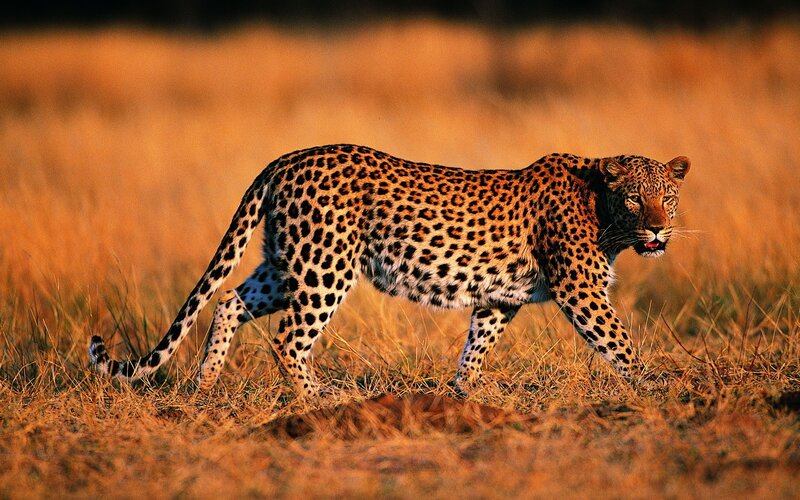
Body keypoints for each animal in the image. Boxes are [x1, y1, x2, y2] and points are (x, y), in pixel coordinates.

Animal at [89, 144, 690, 397]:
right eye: (635, 199)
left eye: (667, 198)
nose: (659, 231)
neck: (605, 214)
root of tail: (285, 158)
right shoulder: (579, 288)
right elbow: (619, 342)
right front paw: (657, 387)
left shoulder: (501, 297)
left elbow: (477, 345)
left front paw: (463, 395)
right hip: (324, 267)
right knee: (288, 338)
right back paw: (319, 400)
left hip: (287, 262)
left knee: (229, 300)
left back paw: (204, 385)